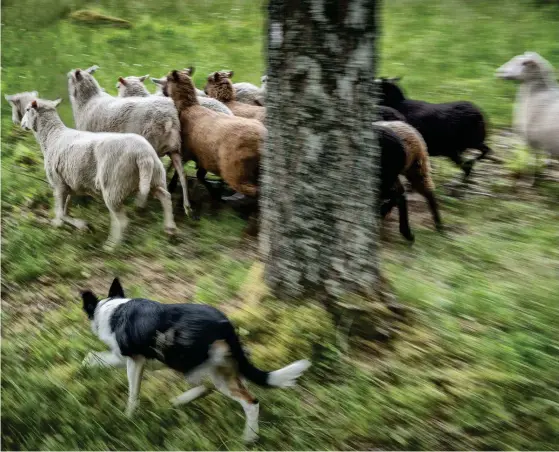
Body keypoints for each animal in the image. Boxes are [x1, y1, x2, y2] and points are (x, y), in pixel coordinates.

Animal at [20, 97, 177, 251]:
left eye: (27, 109)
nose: (22, 124)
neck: (52, 136)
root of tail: (143, 155)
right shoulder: (69, 185)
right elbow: (64, 210)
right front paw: (59, 224)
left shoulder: (58, 184)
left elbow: (61, 212)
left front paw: (84, 226)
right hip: (155, 178)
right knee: (165, 196)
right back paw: (170, 229)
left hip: (114, 185)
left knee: (122, 220)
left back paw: (111, 246)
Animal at [68, 64, 192, 217]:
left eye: (69, 78)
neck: (87, 103)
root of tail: (168, 119)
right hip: (174, 147)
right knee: (182, 175)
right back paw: (187, 207)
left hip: (151, 145)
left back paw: (140, 204)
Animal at [81, 278, 312, 444]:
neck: (112, 309)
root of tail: (225, 324)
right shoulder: (129, 359)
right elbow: (95, 358)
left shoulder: (134, 361)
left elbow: (130, 390)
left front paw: (128, 416)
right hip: (218, 369)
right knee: (236, 396)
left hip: (182, 359)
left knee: (226, 393)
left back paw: (246, 436)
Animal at [165, 68, 266, 199]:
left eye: (168, 79)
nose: (203, 89)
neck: (188, 108)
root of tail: (260, 137)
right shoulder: (203, 157)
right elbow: (198, 175)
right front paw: (214, 192)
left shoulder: (186, 152)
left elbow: (180, 172)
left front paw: (171, 186)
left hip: (235, 170)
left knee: (253, 190)